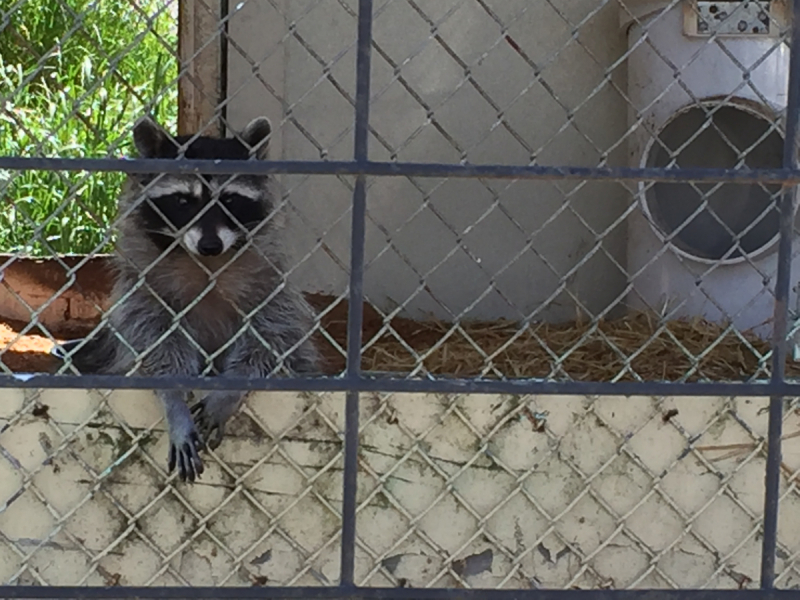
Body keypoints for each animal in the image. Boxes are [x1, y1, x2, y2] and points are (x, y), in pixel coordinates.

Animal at [79, 116, 318, 482]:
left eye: (230, 200)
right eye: (183, 201)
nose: (210, 245)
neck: (206, 264)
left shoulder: (270, 280)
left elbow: (273, 334)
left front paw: (230, 388)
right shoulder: (143, 285)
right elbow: (154, 339)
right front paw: (174, 399)